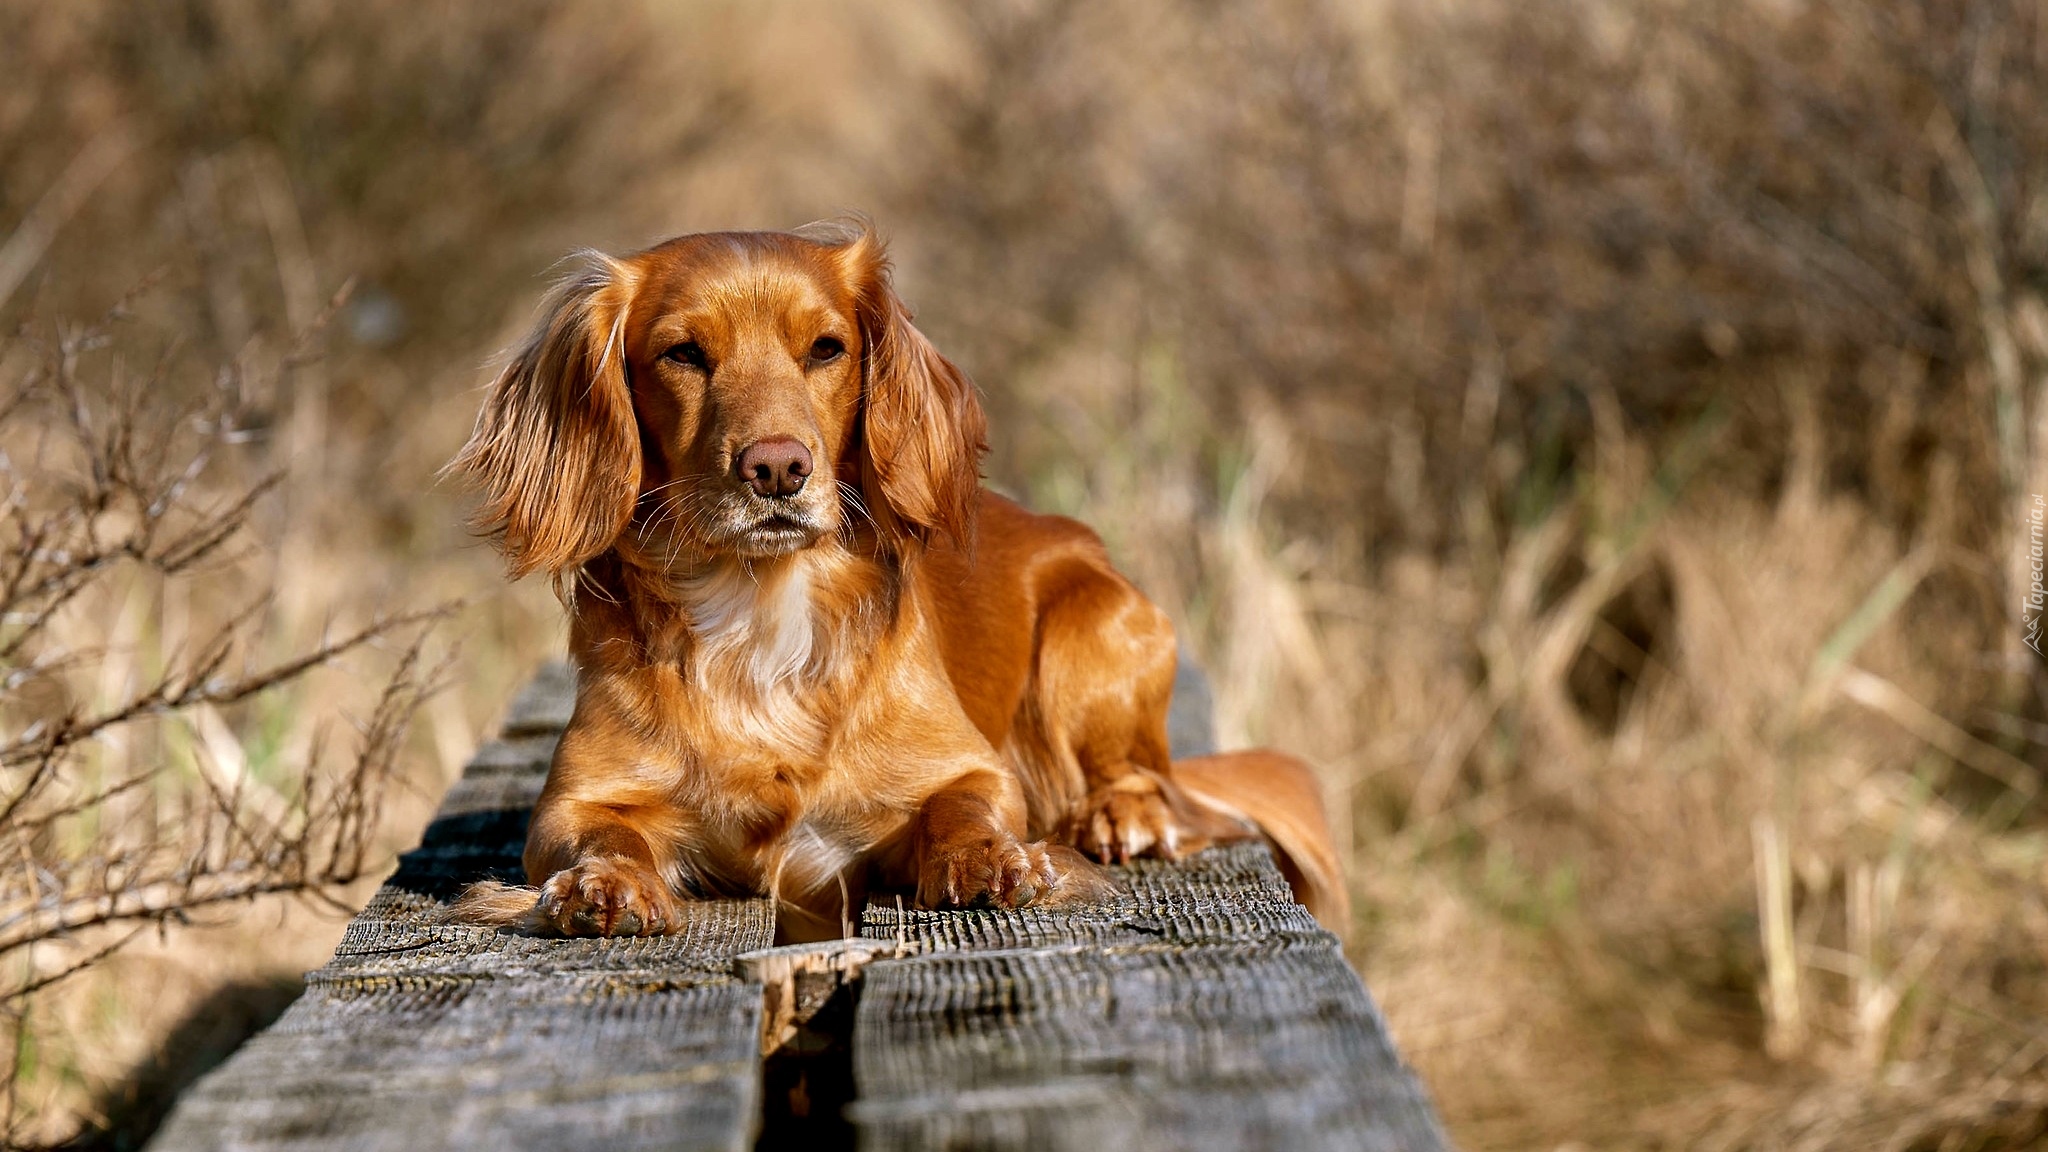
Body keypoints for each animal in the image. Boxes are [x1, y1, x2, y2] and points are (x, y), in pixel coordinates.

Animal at [448, 224, 1343, 942]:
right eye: (683, 354)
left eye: (826, 348)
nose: (777, 468)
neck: (760, 608)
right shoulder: (569, 807)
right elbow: (607, 835)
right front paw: (605, 884)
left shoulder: (971, 769)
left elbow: (965, 806)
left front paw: (992, 859)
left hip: (1091, 633)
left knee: (1150, 779)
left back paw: (1122, 815)